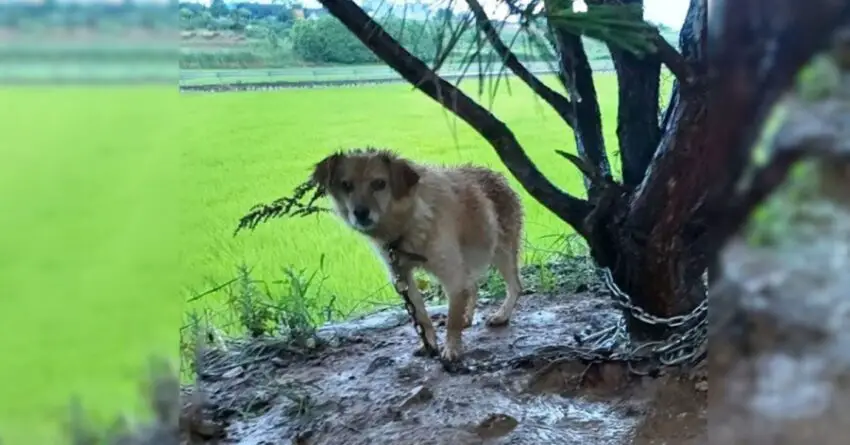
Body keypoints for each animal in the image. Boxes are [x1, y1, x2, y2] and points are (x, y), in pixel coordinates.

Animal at [312, 147, 524, 362]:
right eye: (346, 185)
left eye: (379, 183)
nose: (361, 213)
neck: (407, 226)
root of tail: (497, 176)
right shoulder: (401, 277)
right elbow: (421, 314)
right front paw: (429, 344)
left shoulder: (450, 273)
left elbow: (452, 318)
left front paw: (452, 349)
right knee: (472, 286)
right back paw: (467, 317)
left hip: (502, 252)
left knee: (515, 286)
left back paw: (502, 315)